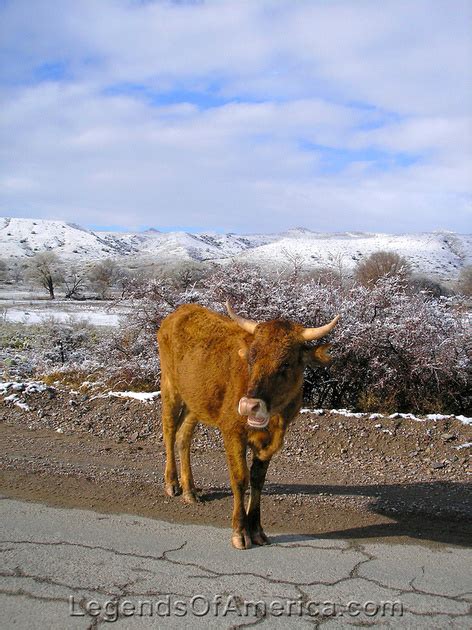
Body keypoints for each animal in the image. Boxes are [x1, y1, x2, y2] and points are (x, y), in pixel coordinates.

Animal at [159, 304, 340, 552]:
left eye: (286, 363)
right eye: (251, 359)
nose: (248, 406)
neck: (275, 422)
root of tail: (182, 310)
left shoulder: (268, 443)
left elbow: (257, 480)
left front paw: (256, 530)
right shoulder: (233, 433)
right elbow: (240, 479)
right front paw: (240, 532)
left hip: (195, 400)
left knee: (183, 436)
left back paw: (190, 490)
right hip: (170, 386)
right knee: (169, 430)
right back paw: (172, 483)